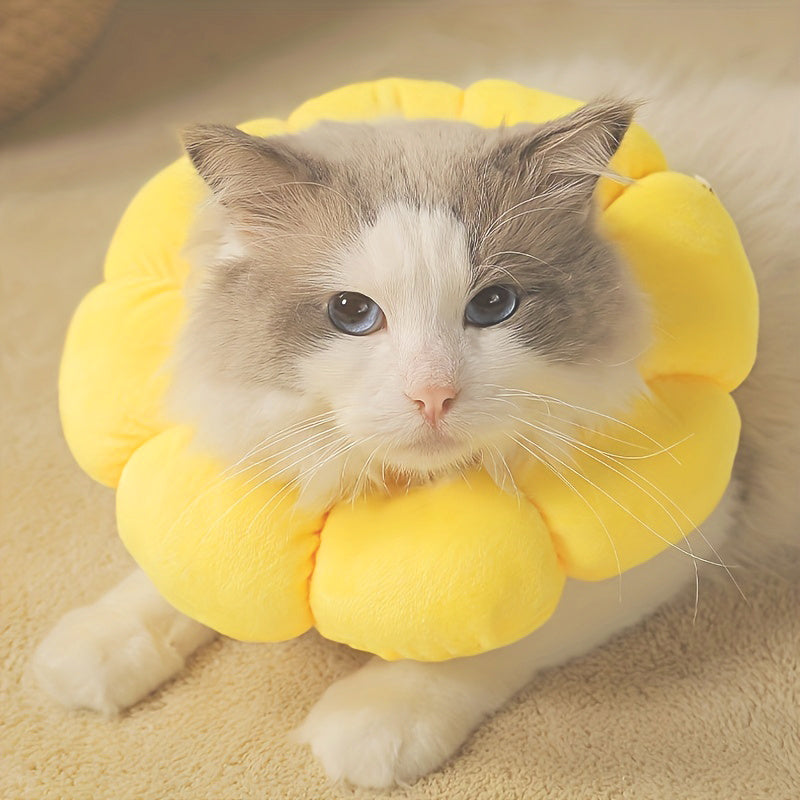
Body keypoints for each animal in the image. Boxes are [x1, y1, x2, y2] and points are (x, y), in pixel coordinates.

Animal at [29, 73, 792, 788]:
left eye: (494, 305)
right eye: (351, 313)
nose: (433, 395)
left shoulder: (688, 528)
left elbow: (487, 637)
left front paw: (370, 726)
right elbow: (168, 581)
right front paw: (93, 653)